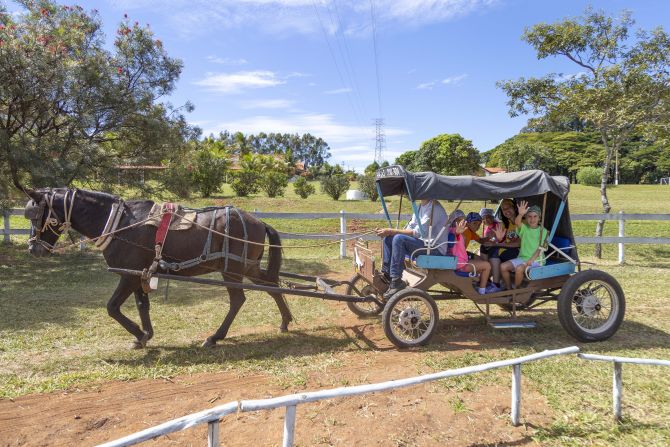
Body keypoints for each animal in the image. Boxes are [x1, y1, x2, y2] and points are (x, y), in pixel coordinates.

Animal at [21, 187, 294, 348]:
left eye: (38, 215)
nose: (33, 249)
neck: (120, 223)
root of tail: (258, 221)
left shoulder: (128, 276)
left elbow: (112, 307)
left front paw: (139, 334)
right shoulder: (139, 274)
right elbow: (143, 306)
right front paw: (145, 334)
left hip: (233, 269)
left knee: (238, 299)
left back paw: (215, 336)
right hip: (247, 267)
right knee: (271, 285)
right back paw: (285, 321)